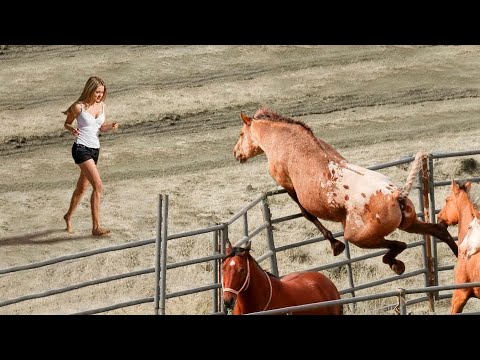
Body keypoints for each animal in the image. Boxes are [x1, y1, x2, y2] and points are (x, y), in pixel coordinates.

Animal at [232, 108, 458, 274]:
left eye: (241, 134)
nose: (235, 153)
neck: (285, 139)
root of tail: (395, 195)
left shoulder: (287, 184)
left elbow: (308, 214)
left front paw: (335, 245)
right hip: (409, 223)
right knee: (439, 231)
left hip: (359, 236)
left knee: (398, 245)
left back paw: (395, 264)